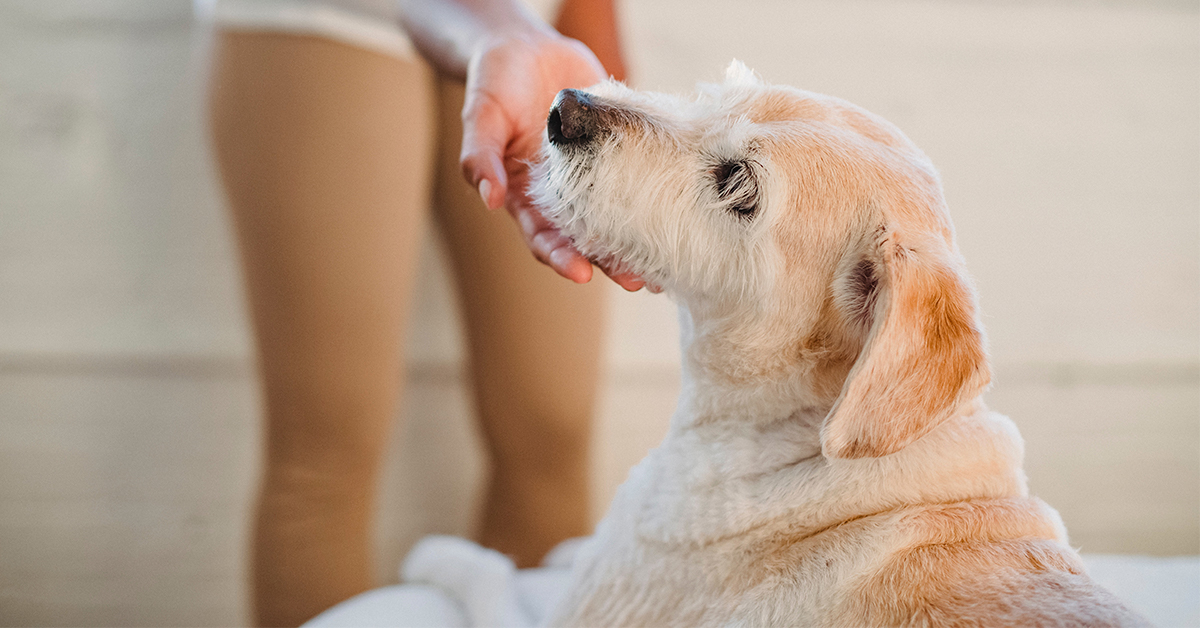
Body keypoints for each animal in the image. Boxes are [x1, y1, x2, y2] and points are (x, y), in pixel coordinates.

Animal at [405, 63, 1152, 628]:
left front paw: (440, 557)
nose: (564, 107)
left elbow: (493, 577)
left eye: (737, 184)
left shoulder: (582, 606)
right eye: (720, 93)